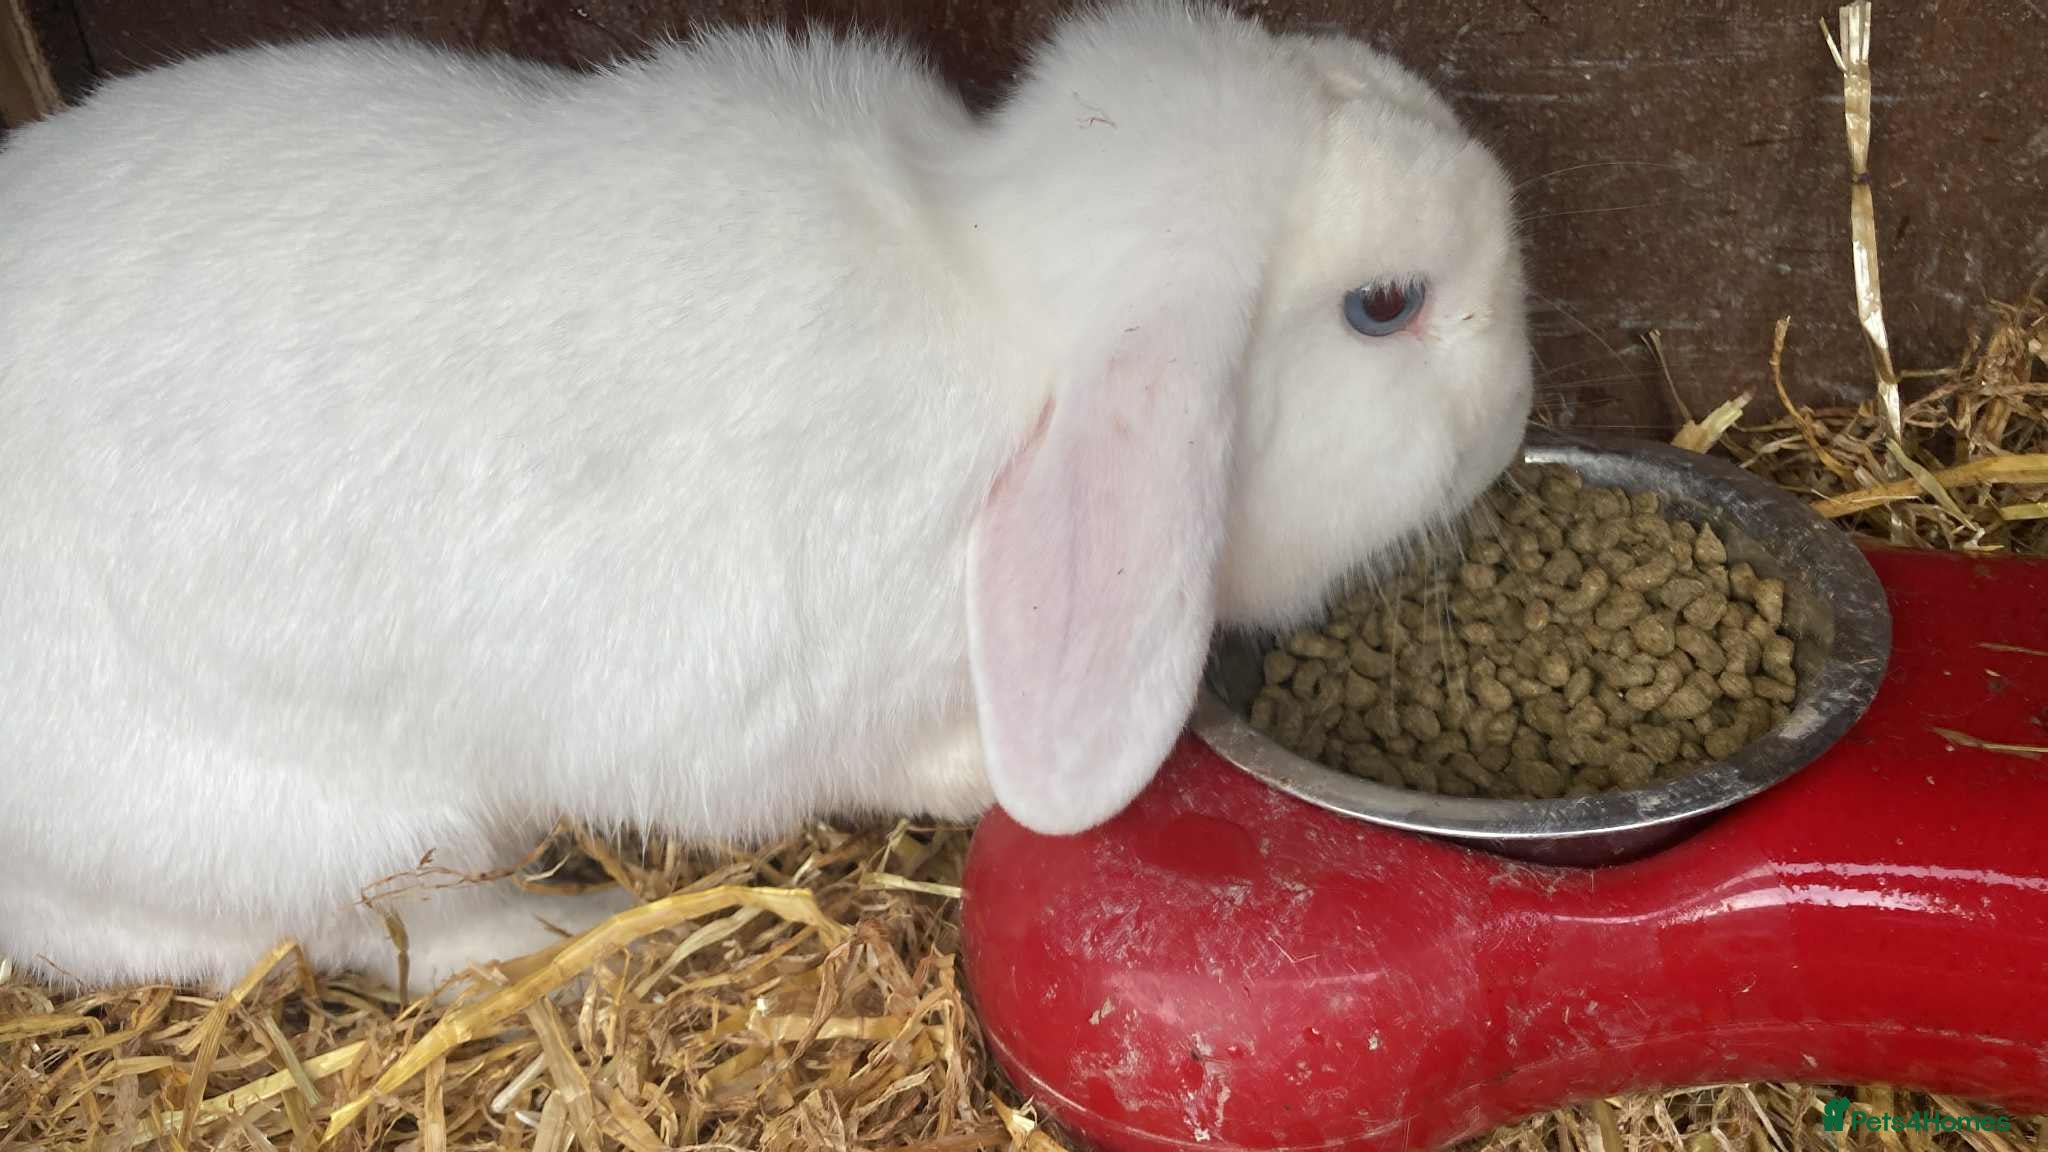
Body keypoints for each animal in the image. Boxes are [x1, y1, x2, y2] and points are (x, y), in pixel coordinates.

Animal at [0, 0, 1533, 994]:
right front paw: (985, 782)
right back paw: (563, 933)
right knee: (325, 934)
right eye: (1384, 307)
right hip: (350, 830)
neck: (981, 290)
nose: (1518, 405)